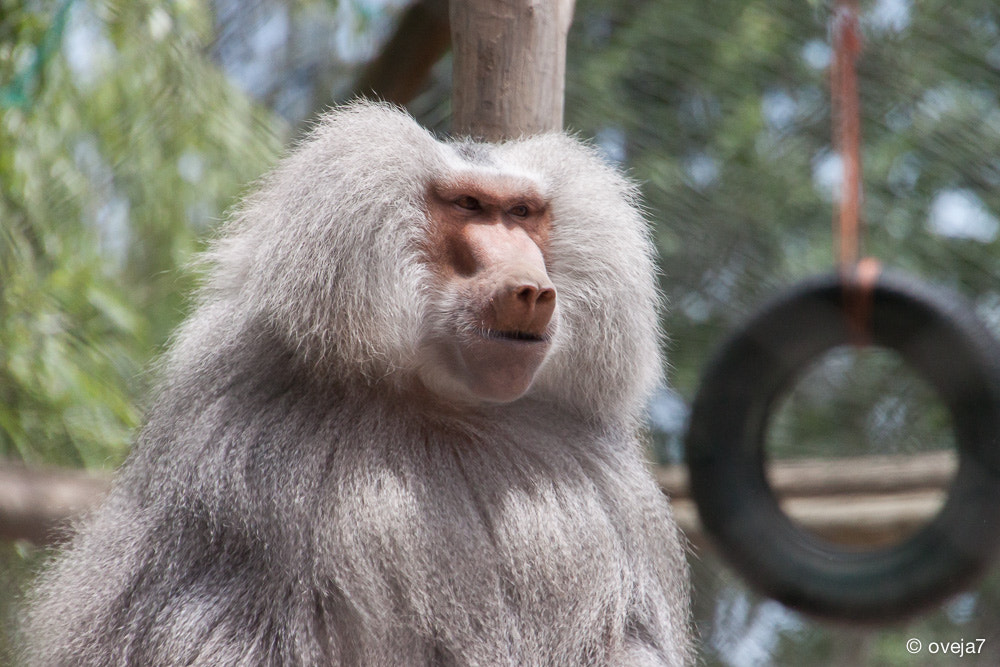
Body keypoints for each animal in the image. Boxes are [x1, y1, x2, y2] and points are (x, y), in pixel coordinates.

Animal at [23, 101, 693, 666]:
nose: (531, 289)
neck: (441, 406)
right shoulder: (233, 439)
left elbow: (631, 639)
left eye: (522, 214)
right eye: (469, 206)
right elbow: (207, 628)